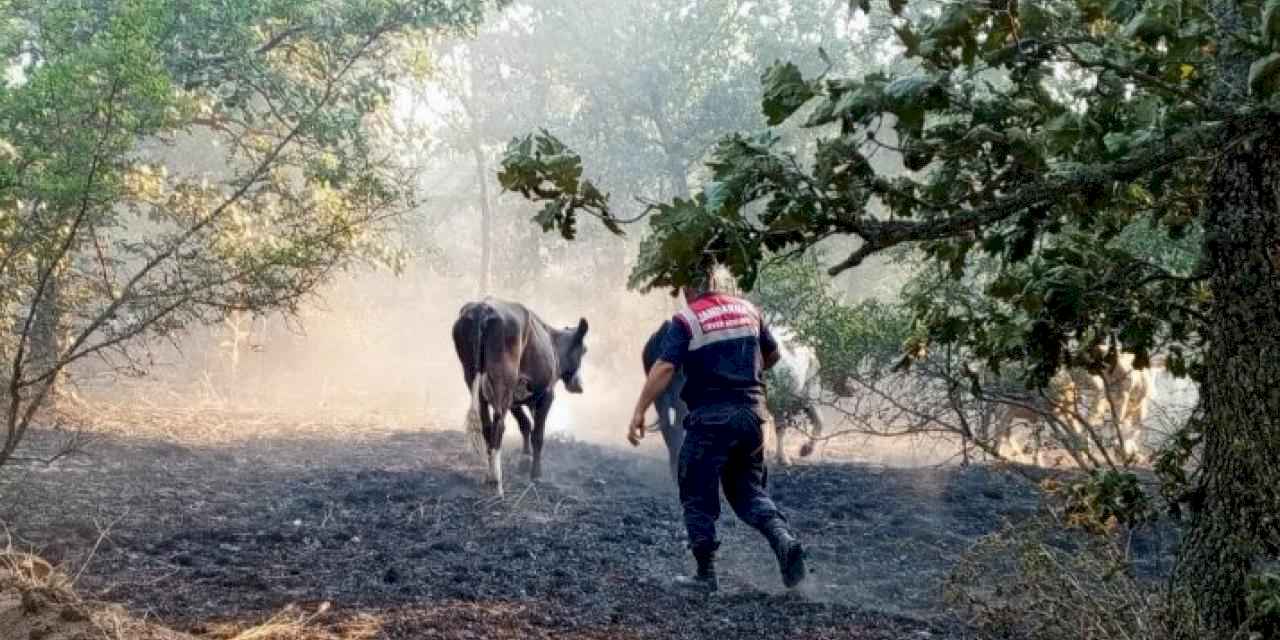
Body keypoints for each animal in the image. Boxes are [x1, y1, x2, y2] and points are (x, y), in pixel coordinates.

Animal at [453, 296, 586, 496]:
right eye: (584, 350)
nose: (579, 386)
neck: (552, 342)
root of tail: (483, 307)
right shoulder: (546, 395)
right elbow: (537, 434)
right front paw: (536, 474)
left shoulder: (515, 399)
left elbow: (525, 425)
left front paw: (524, 460)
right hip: (502, 381)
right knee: (498, 426)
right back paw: (496, 480)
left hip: (473, 380)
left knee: (487, 426)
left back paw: (489, 475)